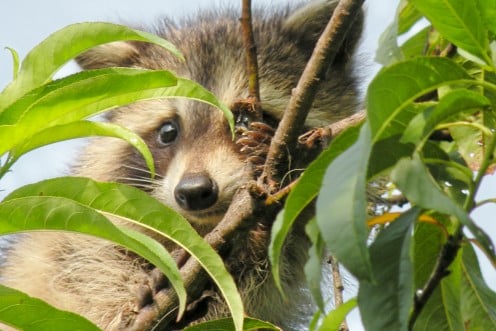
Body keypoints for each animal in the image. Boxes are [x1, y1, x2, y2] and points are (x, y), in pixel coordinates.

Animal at [1, 1, 362, 330]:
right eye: (168, 131)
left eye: (245, 120)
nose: (194, 191)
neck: (201, 228)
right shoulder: (82, 241)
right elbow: (95, 280)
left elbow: (265, 281)